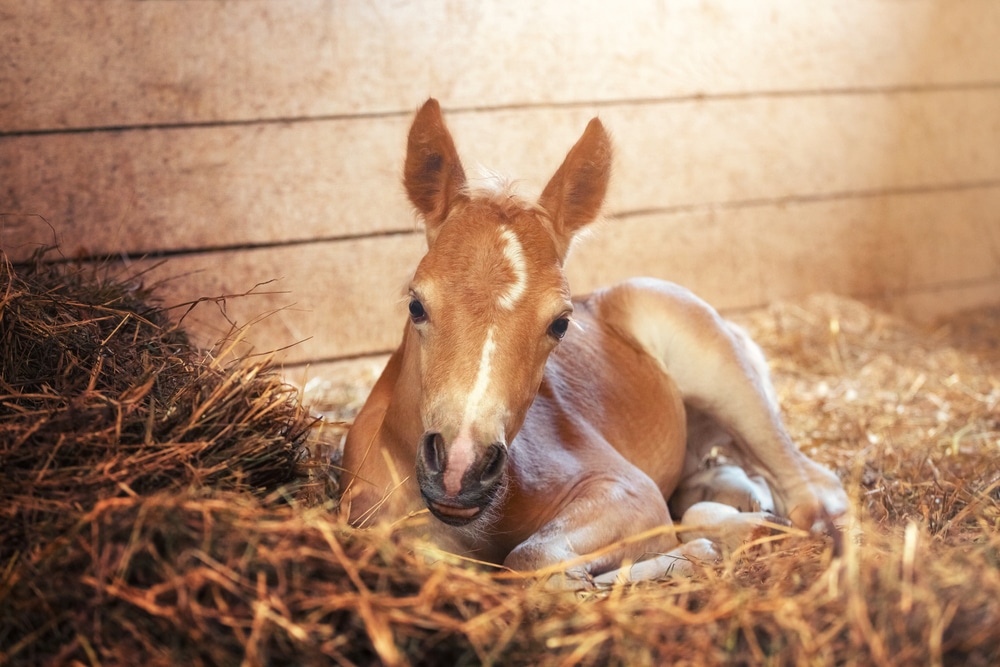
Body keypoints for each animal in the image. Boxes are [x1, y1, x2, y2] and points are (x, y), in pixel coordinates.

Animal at [340, 98, 848, 584]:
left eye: (560, 324)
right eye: (416, 304)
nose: (460, 469)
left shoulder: (628, 488)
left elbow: (532, 557)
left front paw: (695, 554)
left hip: (728, 382)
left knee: (815, 494)